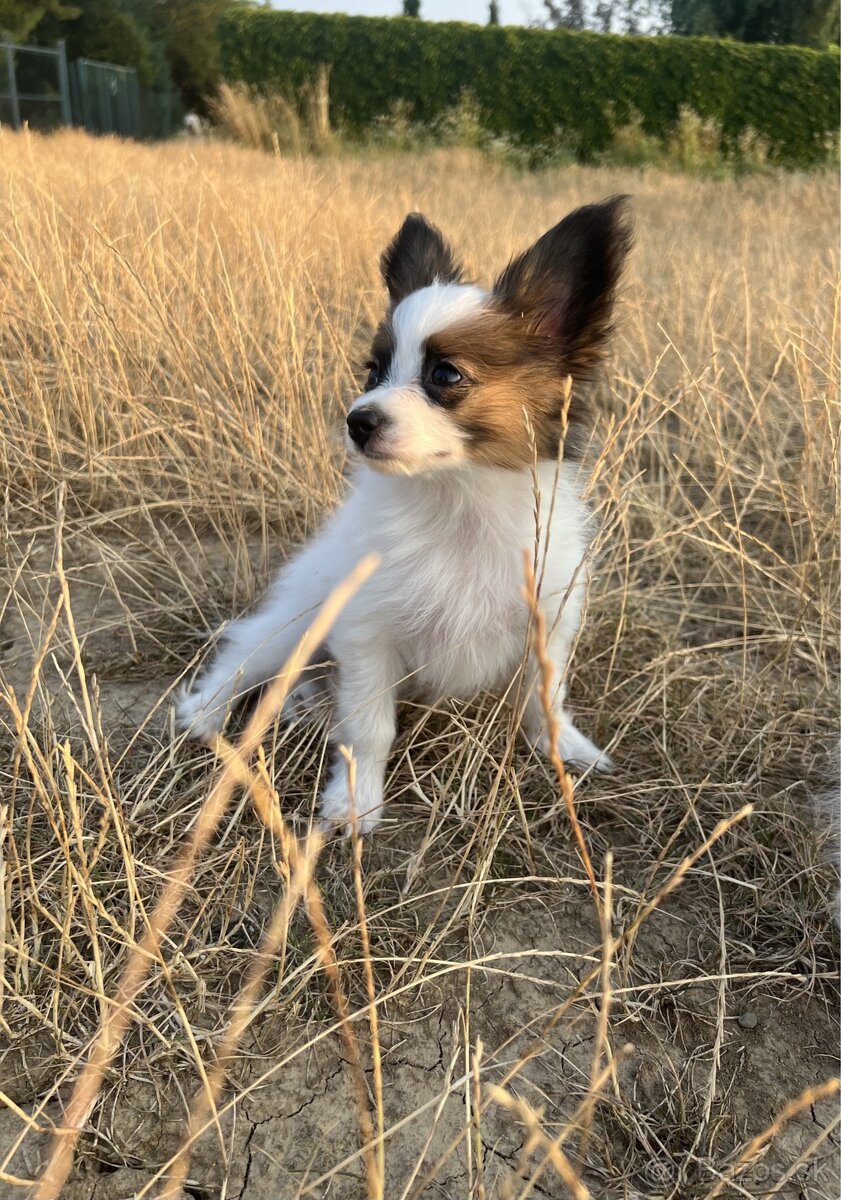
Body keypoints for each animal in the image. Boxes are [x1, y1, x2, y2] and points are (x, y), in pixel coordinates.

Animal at [179, 199, 633, 835]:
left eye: (445, 375)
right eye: (373, 372)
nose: (357, 421)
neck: (456, 504)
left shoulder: (548, 621)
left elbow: (545, 698)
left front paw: (564, 746)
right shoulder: (368, 634)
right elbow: (371, 730)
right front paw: (355, 803)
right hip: (299, 620)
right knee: (244, 657)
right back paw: (205, 713)